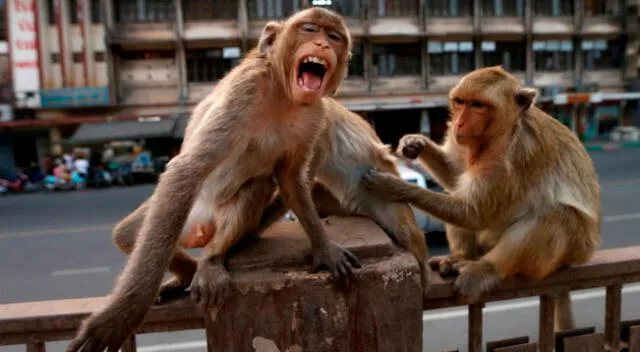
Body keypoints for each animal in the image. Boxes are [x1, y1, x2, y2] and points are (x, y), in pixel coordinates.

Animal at [68, 8, 364, 352]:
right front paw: (122, 315)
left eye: (334, 37)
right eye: (309, 29)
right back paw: (187, 271)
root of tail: (201, 227)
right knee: (130, 234)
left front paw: (324, 247)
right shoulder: (246, 89)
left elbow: (291, 180)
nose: (322, 44)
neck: (284, 94)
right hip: (179, 214)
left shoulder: (315, 114)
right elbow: (187, 169)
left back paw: (209, 261)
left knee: (256, 188)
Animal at [362, 65, 604, 330]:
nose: (459, 123)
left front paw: (392, 186)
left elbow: (474, 213)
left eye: (478, 105)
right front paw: (416, 143)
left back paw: (486, 268)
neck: (503, 131)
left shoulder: (510, 157)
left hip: (575, 250)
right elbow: (457, 178)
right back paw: (463, 256)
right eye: (460, 102)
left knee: (558, 215)